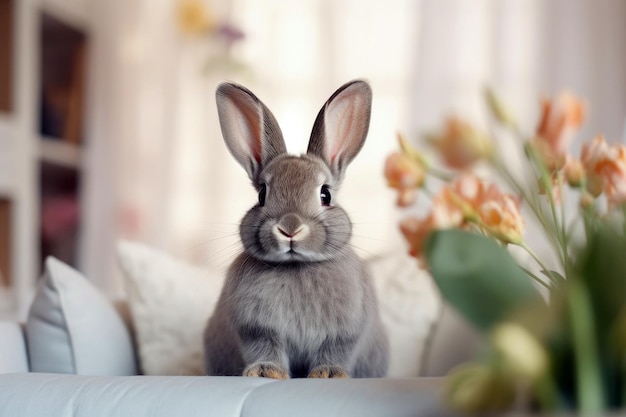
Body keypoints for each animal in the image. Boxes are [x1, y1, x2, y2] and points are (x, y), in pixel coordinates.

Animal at [205, 79, 388, 378]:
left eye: (325, 194)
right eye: (262, 195)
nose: (290, 228)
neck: (296, 266)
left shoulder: (343, 334)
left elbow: (334, 353)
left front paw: (328, 374)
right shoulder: (258, 331)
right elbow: (266, 351)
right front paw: (266, 373)